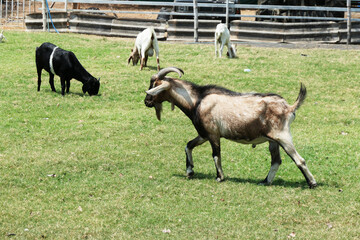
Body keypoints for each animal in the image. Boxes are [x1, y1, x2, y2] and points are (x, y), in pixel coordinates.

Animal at [143, 66, 318, 188]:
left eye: (154, 85)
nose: (146, 101)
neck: (197, 100)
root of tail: (289, 107)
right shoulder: (204, 134)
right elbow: (188, 145)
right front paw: (190, 171)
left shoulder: (213, 134)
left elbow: (216, 154)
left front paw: (219, 177)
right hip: (272, 140)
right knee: (276, 161)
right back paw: (265, 181)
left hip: (282, 136)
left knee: (299, 160)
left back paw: (312, 183)